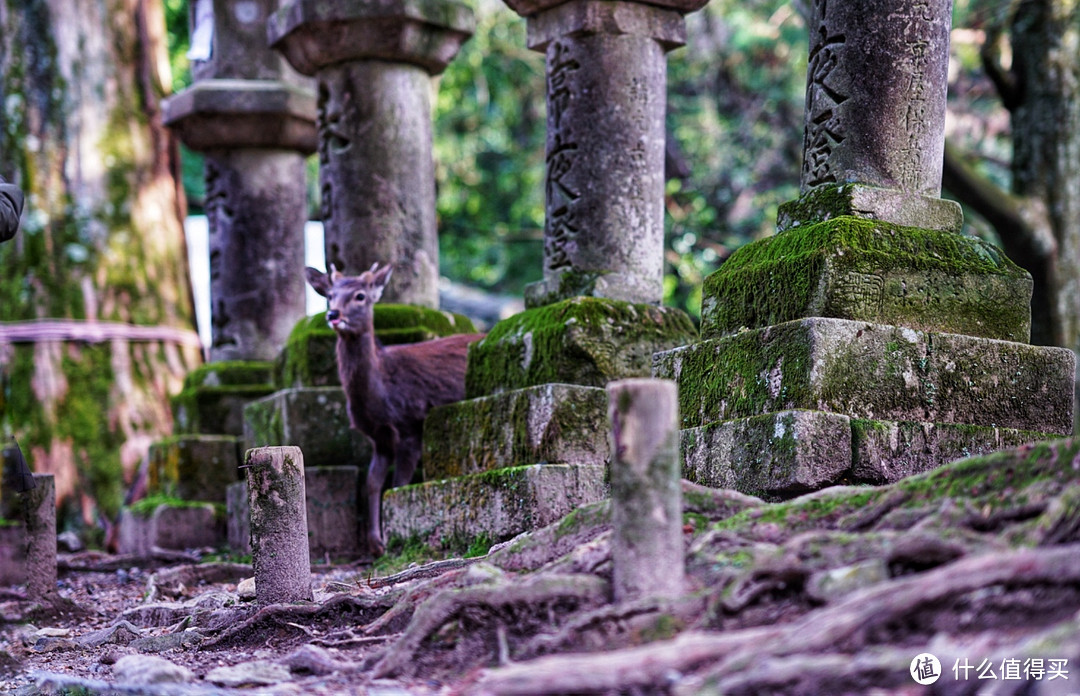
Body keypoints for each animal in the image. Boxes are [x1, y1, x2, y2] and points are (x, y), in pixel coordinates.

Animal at [308, 263, 486, 557]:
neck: (381, 394)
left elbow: (398, 485)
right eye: (330, 295)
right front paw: (376, 544)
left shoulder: (410, 425)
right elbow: (372, 482)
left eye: (360, 296)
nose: (333, 314)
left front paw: (393, 537)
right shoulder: (379, 437)